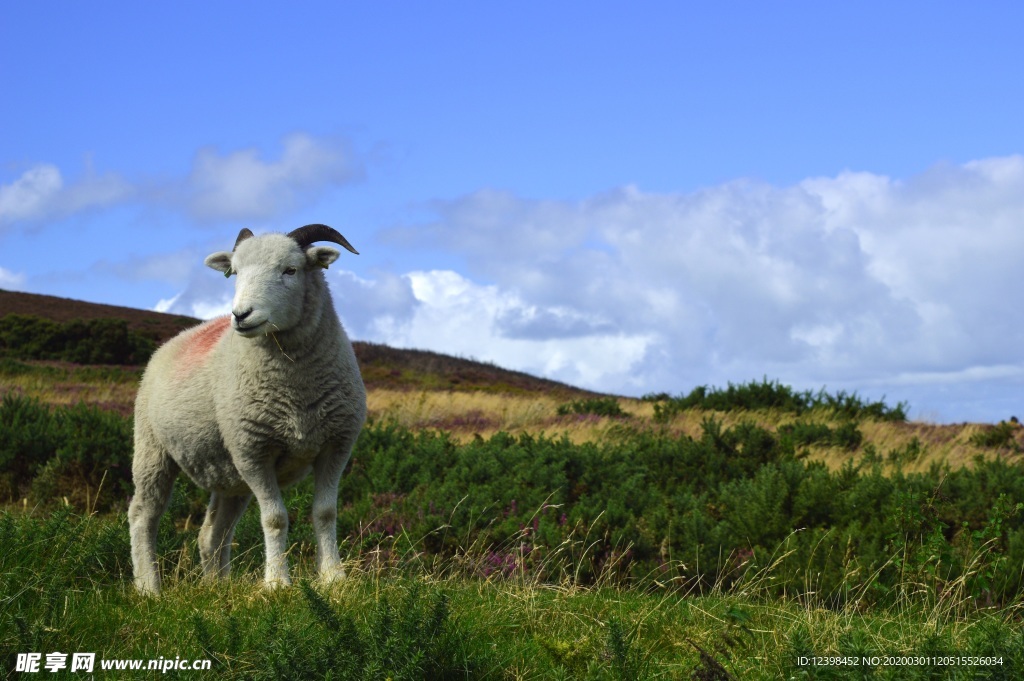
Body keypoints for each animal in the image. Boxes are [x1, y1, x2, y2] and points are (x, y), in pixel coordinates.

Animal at [129, 224, 368, 593]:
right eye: (236, 272)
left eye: (290, 270)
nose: (241, 315)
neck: (296, 388)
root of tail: (177, 338)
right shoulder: (253, 451)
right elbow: (275, 518)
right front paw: (277, 583)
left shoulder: (336, 444)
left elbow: (325, 512)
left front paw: (332, 578)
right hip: (152, 449)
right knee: (143, 515)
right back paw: (149, 589)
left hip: (229, 475)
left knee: (210, 533)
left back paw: (217, 588)